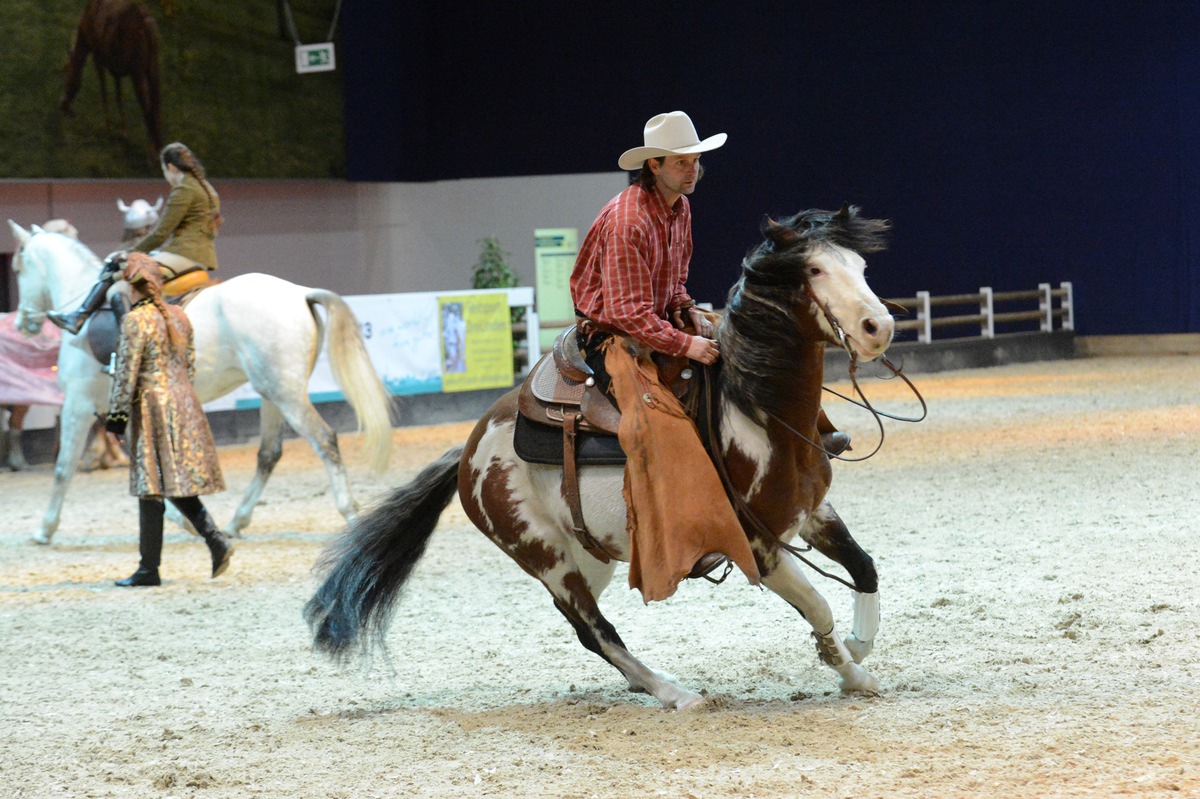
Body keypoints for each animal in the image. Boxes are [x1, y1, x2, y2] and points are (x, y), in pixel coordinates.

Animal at [8, 220, 393, 544]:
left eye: (18, 269)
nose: (24, 324)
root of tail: (299, 292)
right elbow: (146, 468)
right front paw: (186, 520)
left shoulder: (78, 404)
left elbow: (63, 468)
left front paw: (45, 529)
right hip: (273, 392)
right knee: (269, 453)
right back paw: (237, 521)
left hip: (285, 393)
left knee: (324, 441)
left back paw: (350, 513)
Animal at [304, 202, 897, 705]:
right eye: (815, 270)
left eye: (861, 264)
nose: (881, 327)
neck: (756, 412)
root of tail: (470, 449)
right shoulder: (760, 545)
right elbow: (818, 604)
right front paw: (851, 669)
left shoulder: (811, 512)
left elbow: (864, 568)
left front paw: (857, 644)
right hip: (546, 557)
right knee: (595, 631)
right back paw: (672, 692)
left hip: (591, 556)